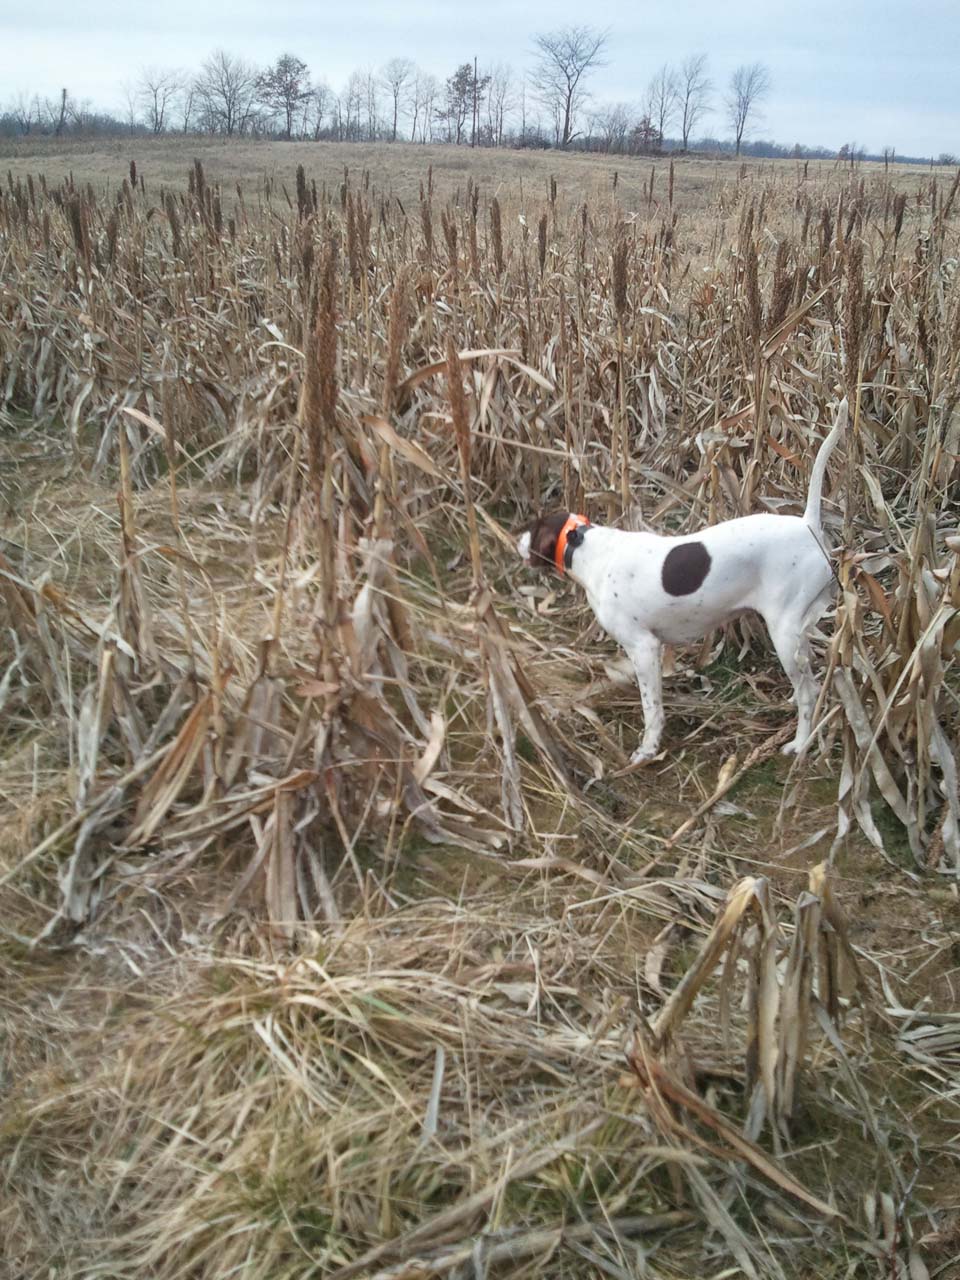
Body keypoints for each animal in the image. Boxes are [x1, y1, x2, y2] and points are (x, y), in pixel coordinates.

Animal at [519, 401, 849, 757]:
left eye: (534, 529)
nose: (517, 540)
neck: (591, 550)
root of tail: (808, 525)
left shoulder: (644, 647)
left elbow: (651, 707)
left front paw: (648, 749)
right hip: (801, 631)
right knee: (809, 676)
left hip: (784, 631)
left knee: (808, 693)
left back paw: (800, 743)